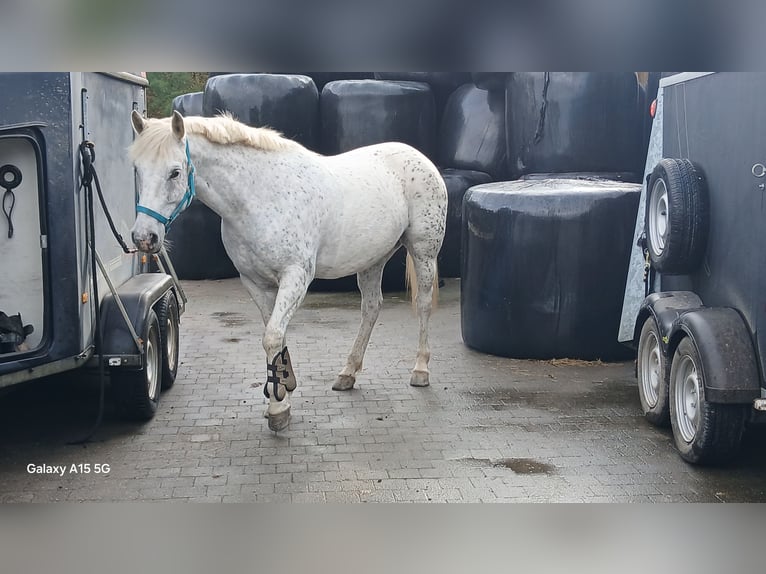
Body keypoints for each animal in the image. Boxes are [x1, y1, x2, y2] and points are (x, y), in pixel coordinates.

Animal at [128, 110, 448, 430]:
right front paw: (282, 390)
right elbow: (275, 335)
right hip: (373, 260)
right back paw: (348, 372)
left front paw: (279, 408)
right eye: (137, 170)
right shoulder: (255, 283)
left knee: (422, 305)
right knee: (371, 308)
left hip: (423, 253)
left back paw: (420, 370)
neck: (260, 197)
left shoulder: (296, 277)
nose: (144, 237)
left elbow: (272, 336)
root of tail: (420, 159)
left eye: (174, 172)